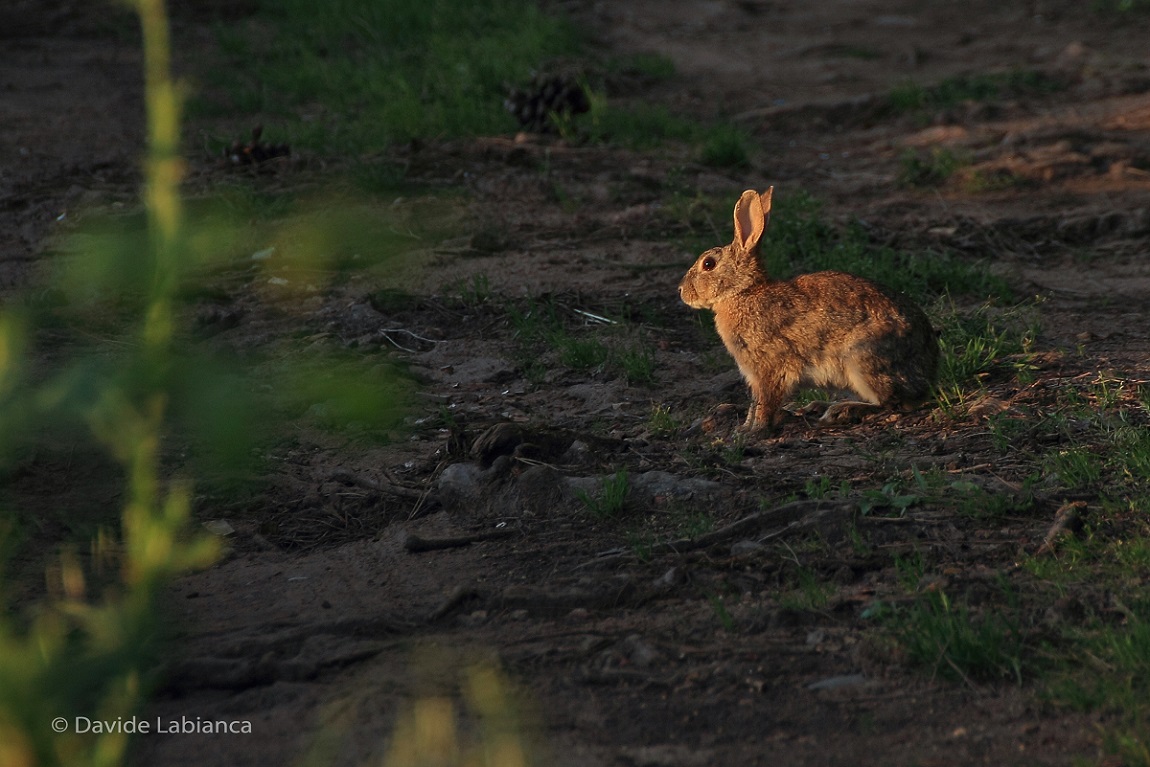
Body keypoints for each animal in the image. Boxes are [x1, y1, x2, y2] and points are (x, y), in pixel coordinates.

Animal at [679, 187, 939, 433]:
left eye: (708, 264)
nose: (681, 290)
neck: (743, 292)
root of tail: (928, 375)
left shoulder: (770, 367)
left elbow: (765, 402)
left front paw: (755, 431)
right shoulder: (753, 375)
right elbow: (754, 403)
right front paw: (743, 429)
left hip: (863, 358)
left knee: (890, 403)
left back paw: (841, 410)